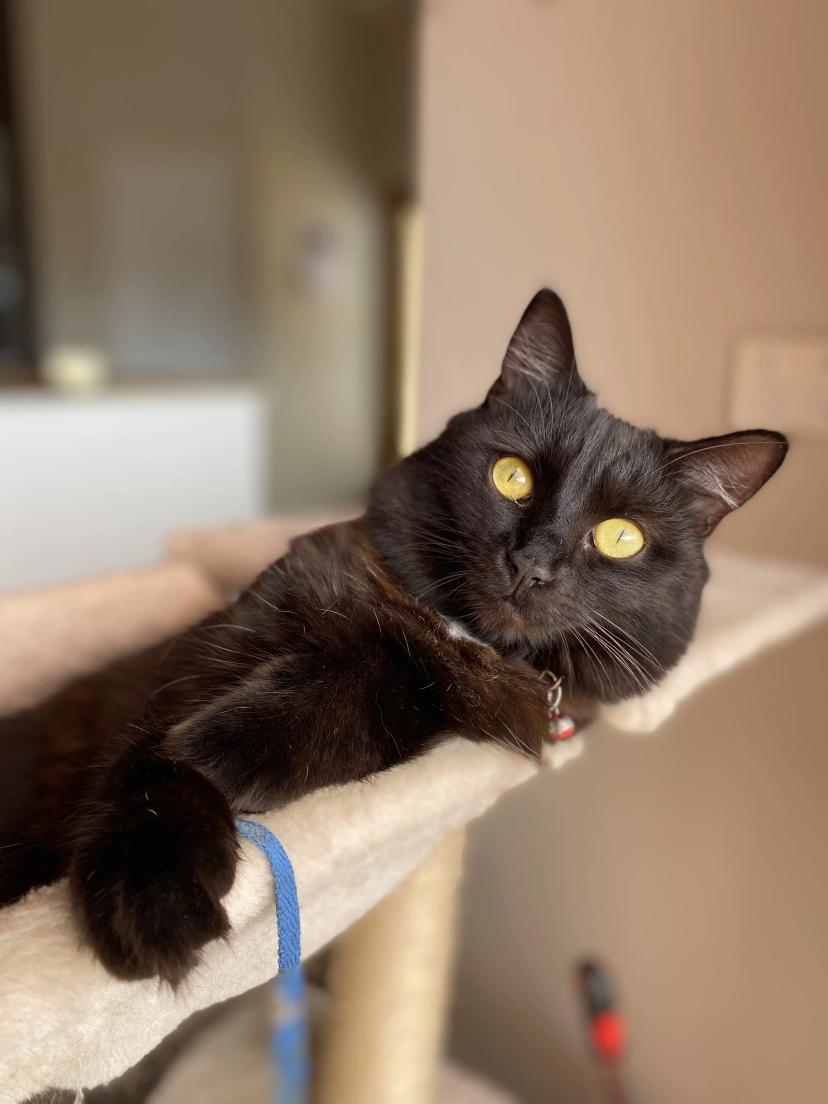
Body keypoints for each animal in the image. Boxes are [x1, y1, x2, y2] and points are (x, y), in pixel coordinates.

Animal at [0, 291, 790, 984]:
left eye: (621, 537)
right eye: (512, 476)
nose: (530, 564)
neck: (451, 638)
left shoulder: (424, 712)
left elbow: (313, 716)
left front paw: (222, 759)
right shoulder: (223, 643)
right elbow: (155, 752)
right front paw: (150, 895)